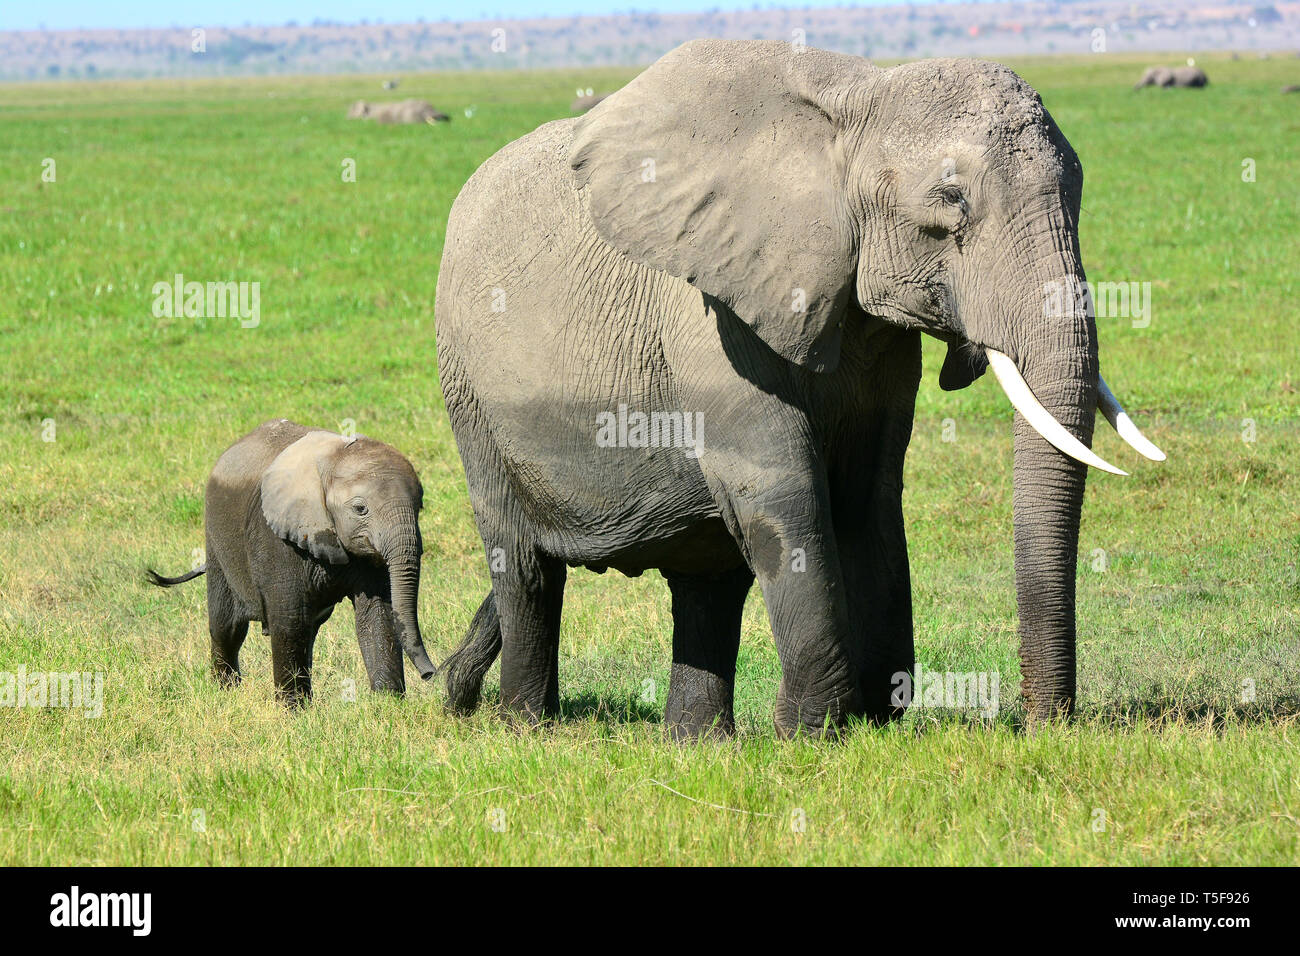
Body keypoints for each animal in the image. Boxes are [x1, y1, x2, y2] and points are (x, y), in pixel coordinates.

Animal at [148, 421, 436, 707]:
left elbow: (377, 613)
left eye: (419, 506)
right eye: (360, 509)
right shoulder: (276, 538)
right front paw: (292, 710)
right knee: (227, 627)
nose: (430, 674)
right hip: (217, 540)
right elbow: (290, 617)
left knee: (309, 629)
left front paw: (388, 704)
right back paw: (225, 692)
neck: (333, 458)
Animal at [431, 39, 1164, 738]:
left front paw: (876, 714)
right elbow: (785, 489)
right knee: (525, 566)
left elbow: (870, 490)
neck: (858, 101)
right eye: (950, 204)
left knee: (707, 580)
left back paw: (696, 743)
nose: (1042, 724)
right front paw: (813, 731)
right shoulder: (712, 312)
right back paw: (526, 726)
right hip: (468, 390)